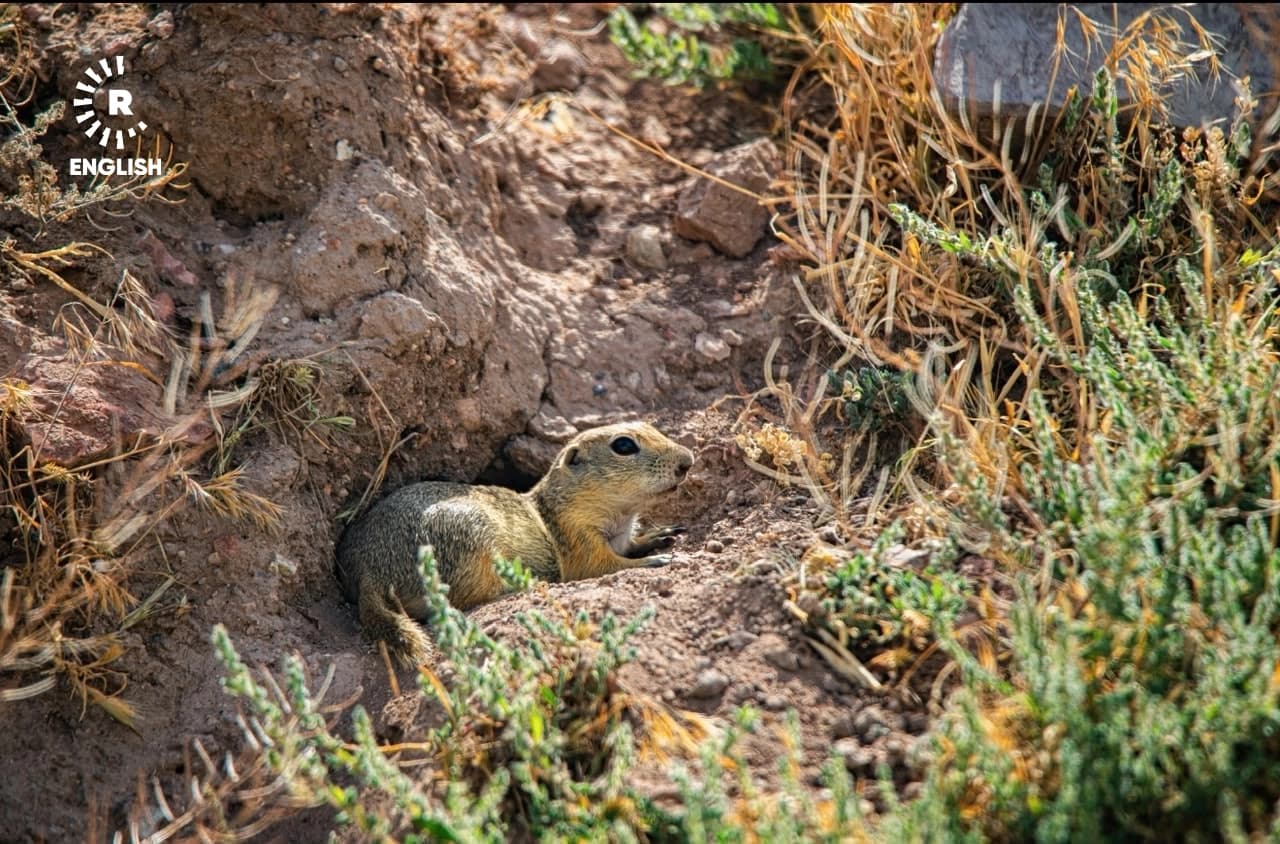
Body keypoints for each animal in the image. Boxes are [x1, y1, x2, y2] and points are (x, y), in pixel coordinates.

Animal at [334, 421, 695, 665]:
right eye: (623, 446)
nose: (688, 460)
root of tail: (368, 570)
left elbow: (628, 547)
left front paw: (658, 535)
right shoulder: (579, 539)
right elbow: (603, 566)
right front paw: (654, 561)